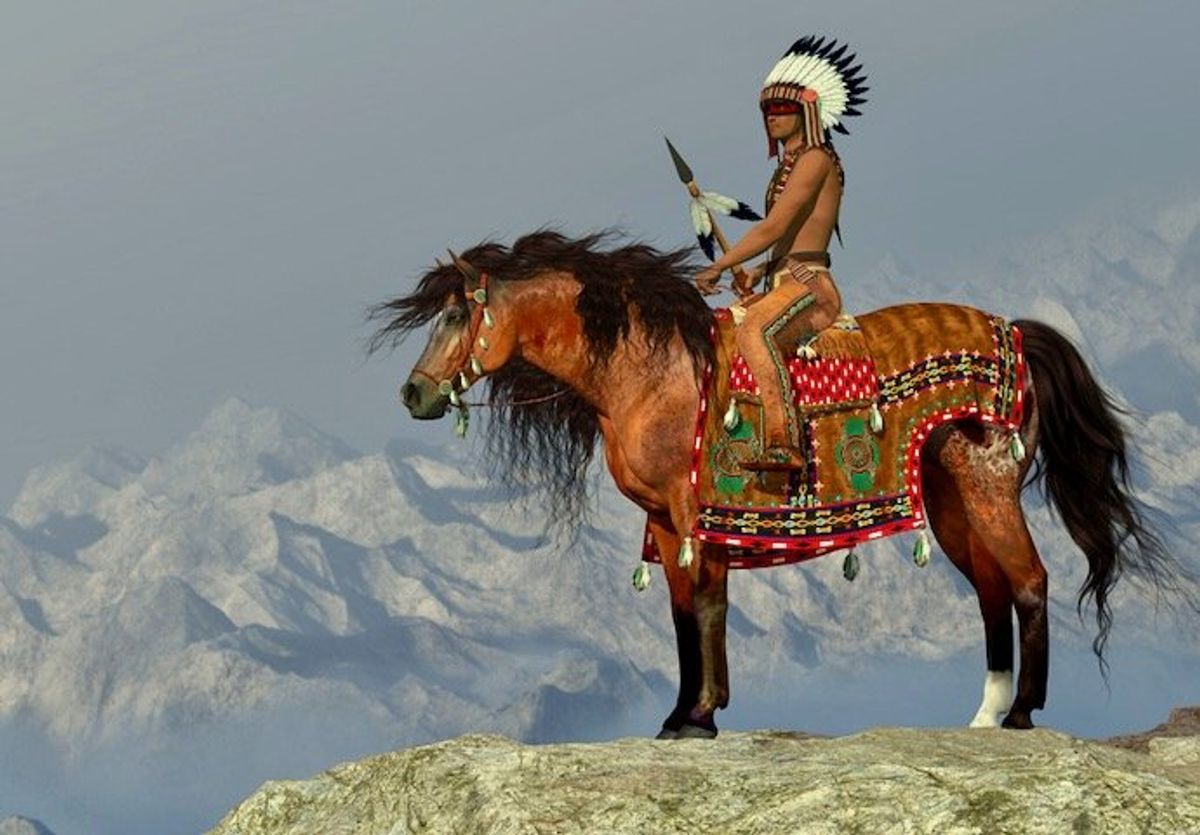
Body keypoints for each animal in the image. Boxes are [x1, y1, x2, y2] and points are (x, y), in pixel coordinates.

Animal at [368, 229, 1193, 740]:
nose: (412, 393)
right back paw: (987, 715)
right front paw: (686, 713)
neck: (650, 373)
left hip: (987, 486)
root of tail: (1017, 334)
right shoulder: (666, 522)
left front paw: (698, 715)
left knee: (1028, 580)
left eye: (455, 315)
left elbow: (702, 608)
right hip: (951, 499)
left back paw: (1022, 712)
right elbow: (686, 614)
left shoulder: (688, 512)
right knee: (992, 589)